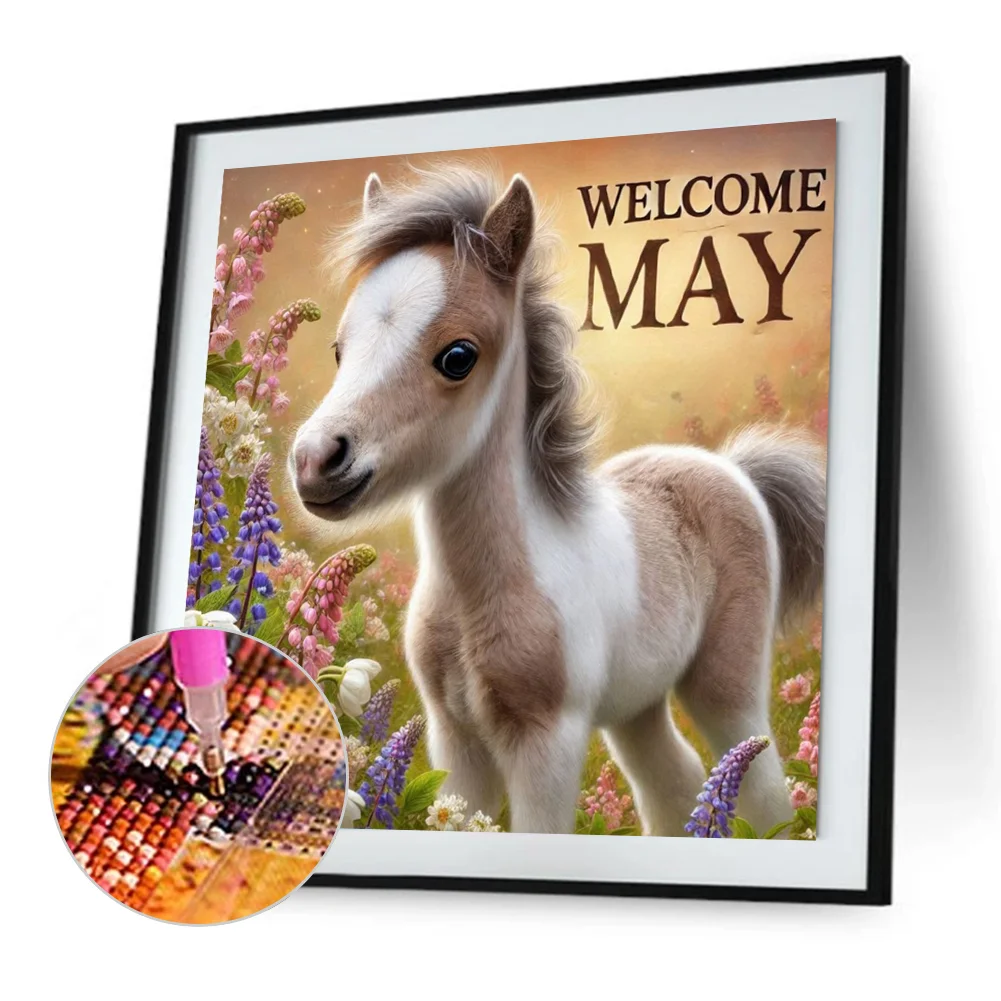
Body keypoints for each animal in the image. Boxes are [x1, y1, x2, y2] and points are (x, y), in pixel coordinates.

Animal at [290, 166, 825, 835]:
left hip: (725, 682)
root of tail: (731, 468)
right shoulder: (454, 740)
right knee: (673, 781)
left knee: (761, 788)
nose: (316, 462)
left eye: (458, 357)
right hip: (636, 702)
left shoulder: (548, 743)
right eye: (340, 349)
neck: (481, 592)